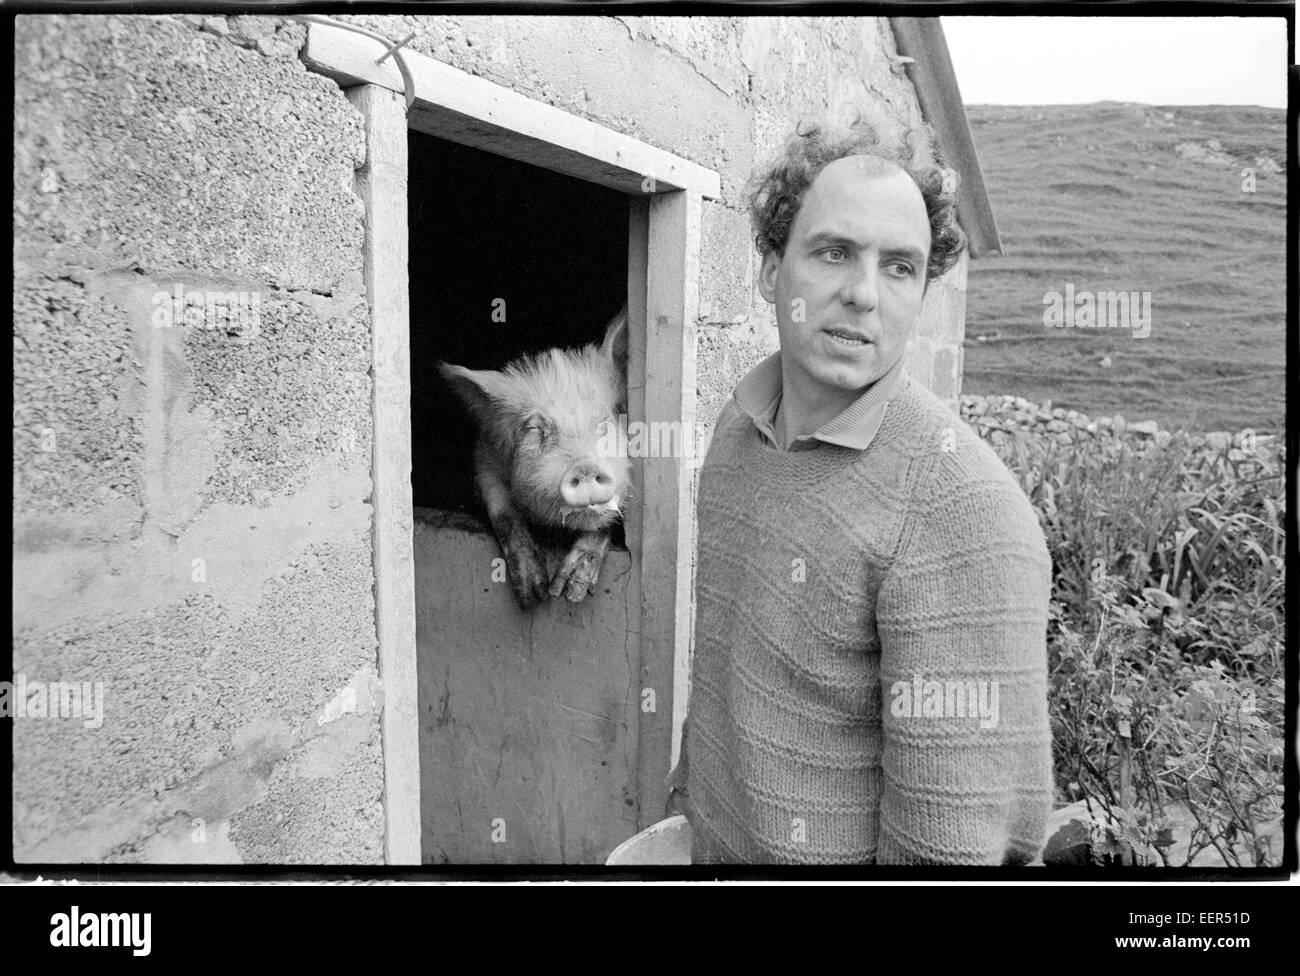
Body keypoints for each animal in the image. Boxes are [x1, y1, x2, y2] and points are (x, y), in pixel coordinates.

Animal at [439, 305, 631, 610]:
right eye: (537, 429)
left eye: (604, 422)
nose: (585, 467)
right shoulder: (484, 459)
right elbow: (504, 514)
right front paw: (535, 594)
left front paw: (568, 593)